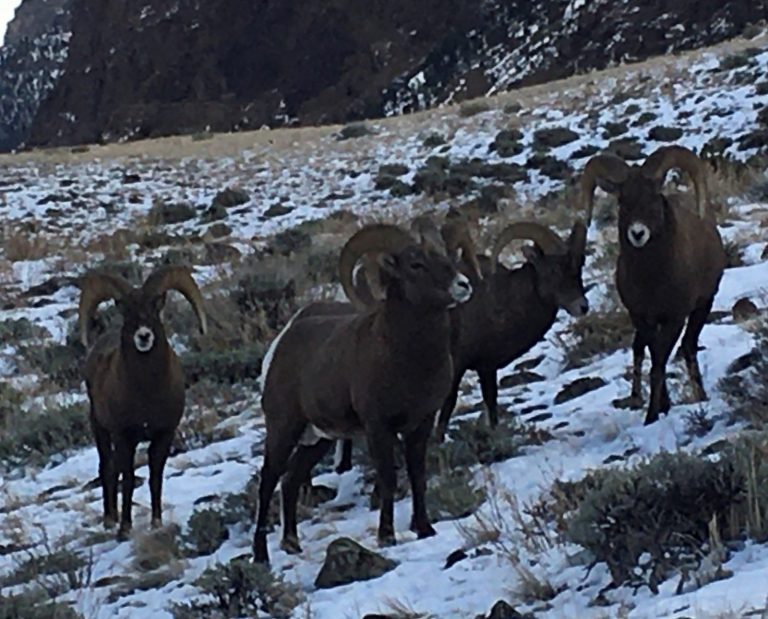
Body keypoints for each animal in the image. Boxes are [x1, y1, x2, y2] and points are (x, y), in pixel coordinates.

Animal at [77, 265, 207, 539]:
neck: (147, 392)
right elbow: (127, 479)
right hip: (100, 429)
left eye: (154, 307)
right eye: (127, 311)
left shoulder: (164, 434)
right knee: (107, 468)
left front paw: (156, 522)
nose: (144, 336)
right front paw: (125, 528)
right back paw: (110, 519)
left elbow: (155, 476)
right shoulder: (123, 436)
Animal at [253, 222, 472, 564]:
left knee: (290, 480)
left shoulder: (420, 425)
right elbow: (389, 478)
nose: (463, 285)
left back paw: (291, 543)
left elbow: (417, 476)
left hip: (319, 440)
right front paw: (387, 536)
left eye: (446, 255)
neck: (408, 360)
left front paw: (425, 530)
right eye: (416, 264)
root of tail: (278, 348)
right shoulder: (378, 427)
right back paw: (261, 556)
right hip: (283, 429)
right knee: (268, 482)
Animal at [579, 145, 726, 425]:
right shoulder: (641, 317)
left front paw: (651, 416)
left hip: (702, 307)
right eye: (623, 202)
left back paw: (700, 396)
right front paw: (661, 409)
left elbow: (659, 363)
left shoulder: (674, 318)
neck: (652, 279)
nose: (638, 234)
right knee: (643, 349)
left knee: (688, 346)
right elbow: (654, 354)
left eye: (653, 199)